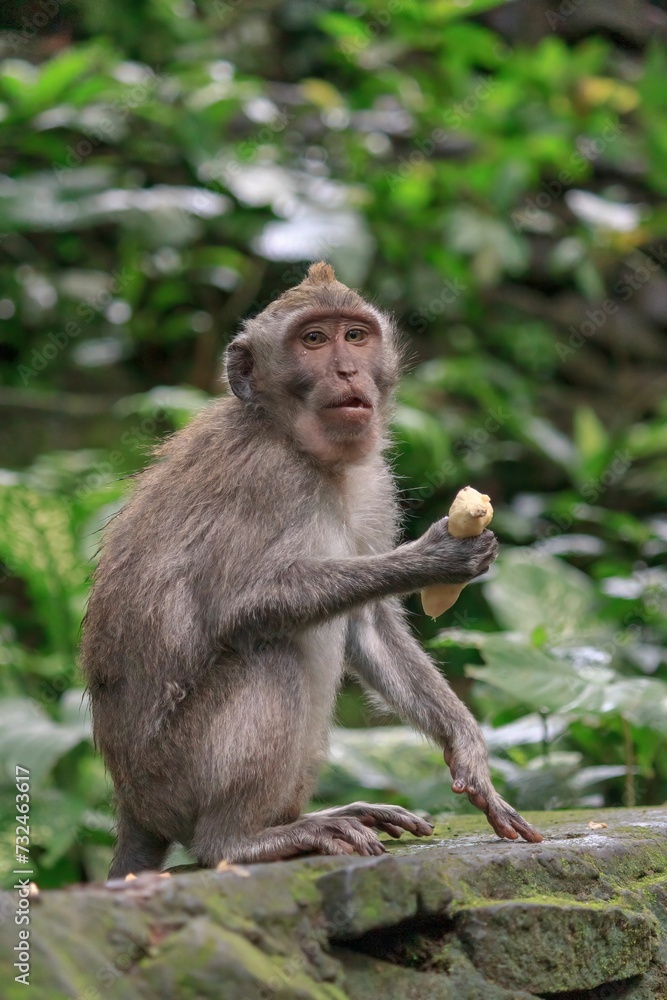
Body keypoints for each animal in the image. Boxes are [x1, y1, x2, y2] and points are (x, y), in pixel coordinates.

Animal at [79, 260, 544, 876]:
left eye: (356, 336)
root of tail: (133, 808)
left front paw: (468, 749)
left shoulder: (374, 485)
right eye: (314, 340)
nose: (347, 369)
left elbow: (369, 625)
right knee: (271, 652)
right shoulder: (264, 477)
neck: (306, 451)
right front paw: (434, 558)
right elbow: (239, 606)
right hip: (172, 776)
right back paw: (240, 840)